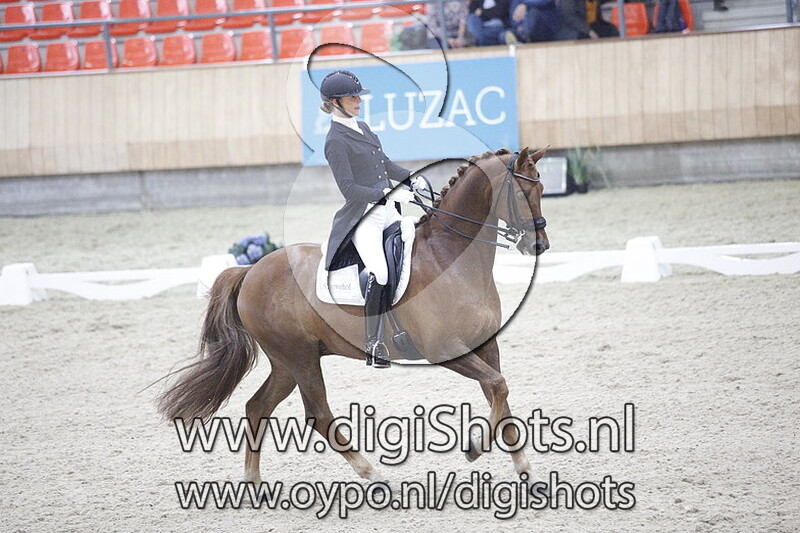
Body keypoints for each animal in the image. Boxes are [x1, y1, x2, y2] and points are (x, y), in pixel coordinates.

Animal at [157, 146, 551, 489]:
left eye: (542, 187)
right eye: (522, 191)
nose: (539, 245)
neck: (450, 257)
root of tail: (251, 269)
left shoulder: (486, 345)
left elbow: (499, 394)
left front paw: (526, 473)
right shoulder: (445, 350)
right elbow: (498, 386)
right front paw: (473, 450)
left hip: (286, 362)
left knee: (258, 407)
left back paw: (253, 482)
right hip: (299, 357)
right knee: (318, 413)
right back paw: (375, 476)